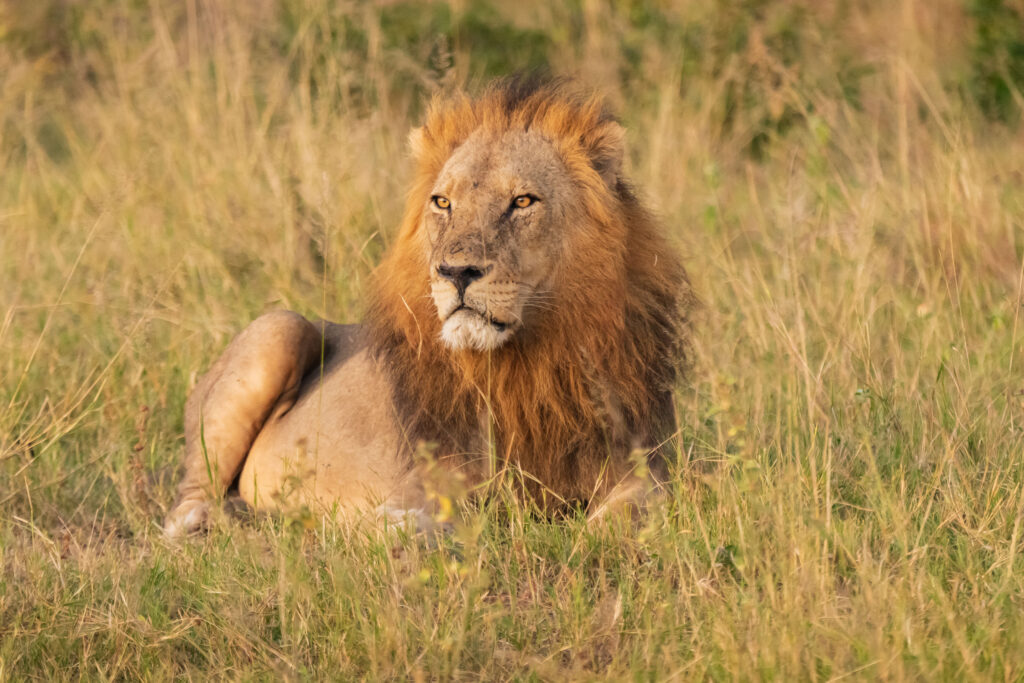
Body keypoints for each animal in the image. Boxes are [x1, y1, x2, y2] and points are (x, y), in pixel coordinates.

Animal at [163, 78, 693, 537]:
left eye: (523, 201)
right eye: (442, 202)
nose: (455, 273)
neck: (532, 359)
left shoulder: (643, 466)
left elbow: (637, 509)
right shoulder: (432, 482)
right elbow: (444, 518)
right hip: (281, 327)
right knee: (187, 499)